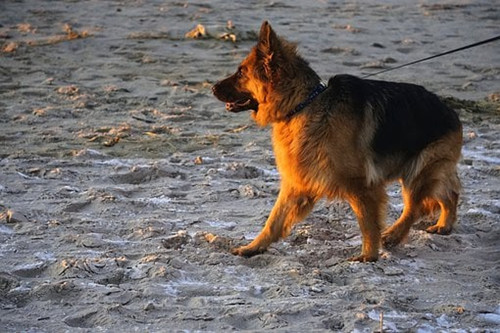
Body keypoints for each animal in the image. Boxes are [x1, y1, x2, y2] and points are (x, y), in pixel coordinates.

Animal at [211, 21, 460, 262]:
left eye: (240, 72)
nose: (212, 87)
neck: (303, 104)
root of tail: (451, 111)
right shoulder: (298, 182)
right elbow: (274, 220)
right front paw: (253, 247)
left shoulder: (361, 185)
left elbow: (368, 223)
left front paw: (369, 255)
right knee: (449, 193)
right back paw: (444, 224)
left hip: (418, 173)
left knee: (415, 207)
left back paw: (396, 234)